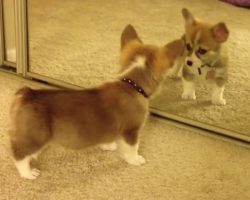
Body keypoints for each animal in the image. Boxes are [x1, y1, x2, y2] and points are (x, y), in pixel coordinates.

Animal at [8, 24, 184, 179]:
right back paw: (28, 173)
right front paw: (135, 160)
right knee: (19, 155)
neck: (132, 83)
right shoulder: (131, 130)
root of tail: (28, 94)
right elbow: (133, 148)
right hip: (36, 137)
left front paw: (109, 146)